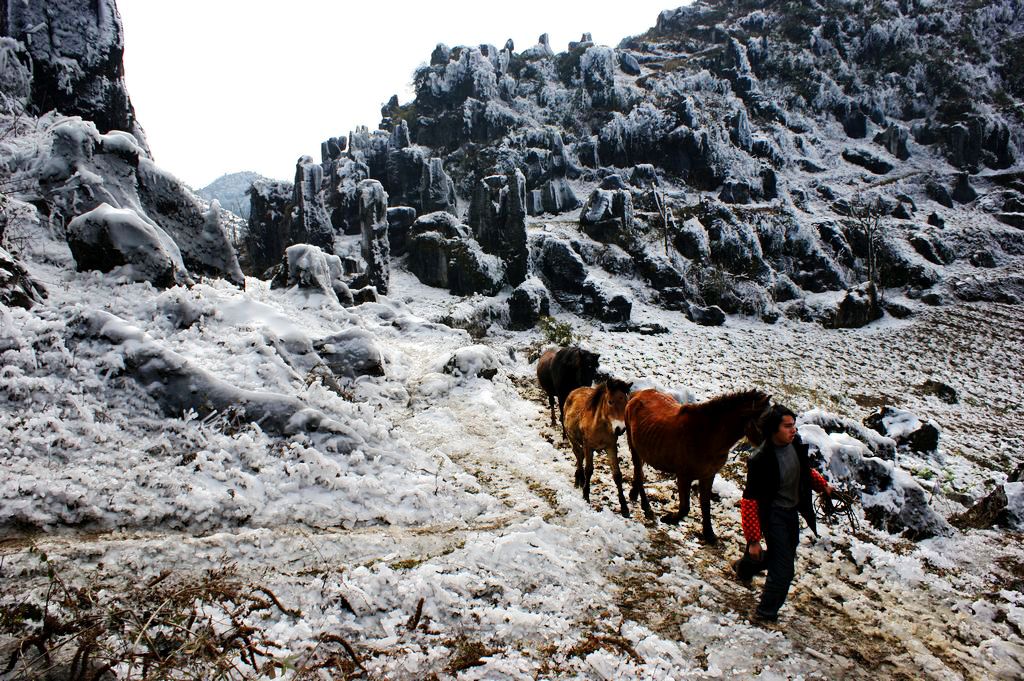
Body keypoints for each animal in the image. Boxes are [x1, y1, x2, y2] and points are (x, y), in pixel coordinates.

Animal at [561, 376, 630, 516]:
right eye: (610, 402)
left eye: (625, 402)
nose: (620, 429)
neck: (600, 426)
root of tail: (574, 391)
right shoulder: (589, 446)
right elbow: (589, 470)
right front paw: (586, 496)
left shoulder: (611, 447)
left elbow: (617, 475)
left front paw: (624, 507)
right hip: (572, 438)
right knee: (578, 455)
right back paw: (579, 479)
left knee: (580, 455)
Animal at [622, 387, 770, 540]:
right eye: (766, 421)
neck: (707, 436)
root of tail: (638, 394)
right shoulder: (683, 477)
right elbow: (685, 507)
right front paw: (669, 518)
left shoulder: (708, 475)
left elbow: (705, 504)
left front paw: (709, 534)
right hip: (633, 446)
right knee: (639, 473)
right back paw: (646, 507)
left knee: (638, 471)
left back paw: (634, 495)